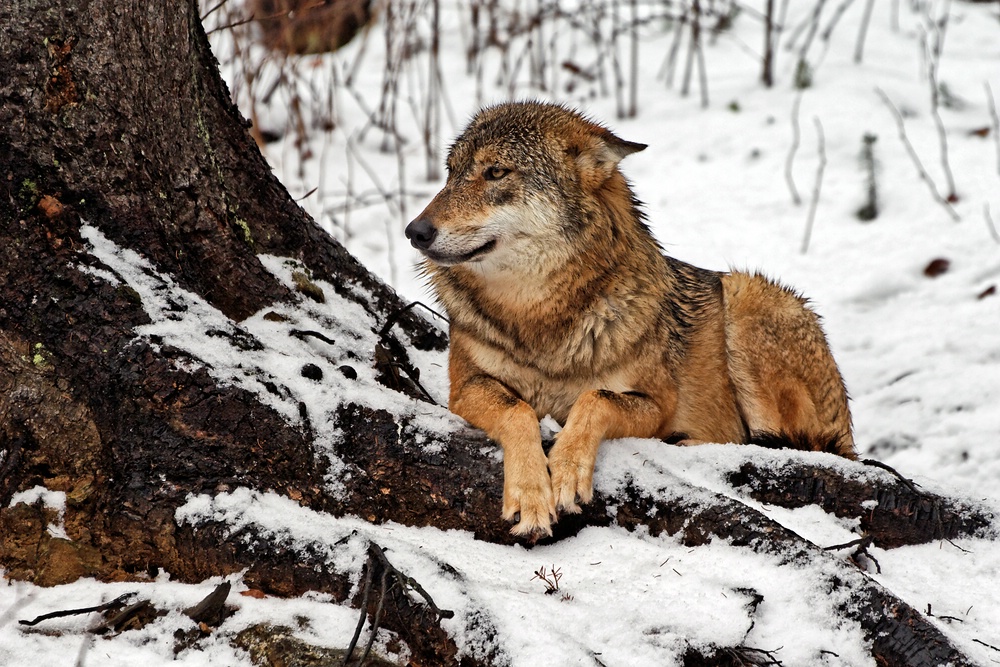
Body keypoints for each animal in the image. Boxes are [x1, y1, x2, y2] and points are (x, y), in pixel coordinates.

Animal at [402, 103, 856, 536]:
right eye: (451, 174)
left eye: (495, 172)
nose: (414, 231)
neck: (541, 319)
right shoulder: (465, 388)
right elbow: (519, 411)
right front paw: (530, 496)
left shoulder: (656, 404)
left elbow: (595, 399)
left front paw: (566, 471)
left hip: (747, 298)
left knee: (789, 446)